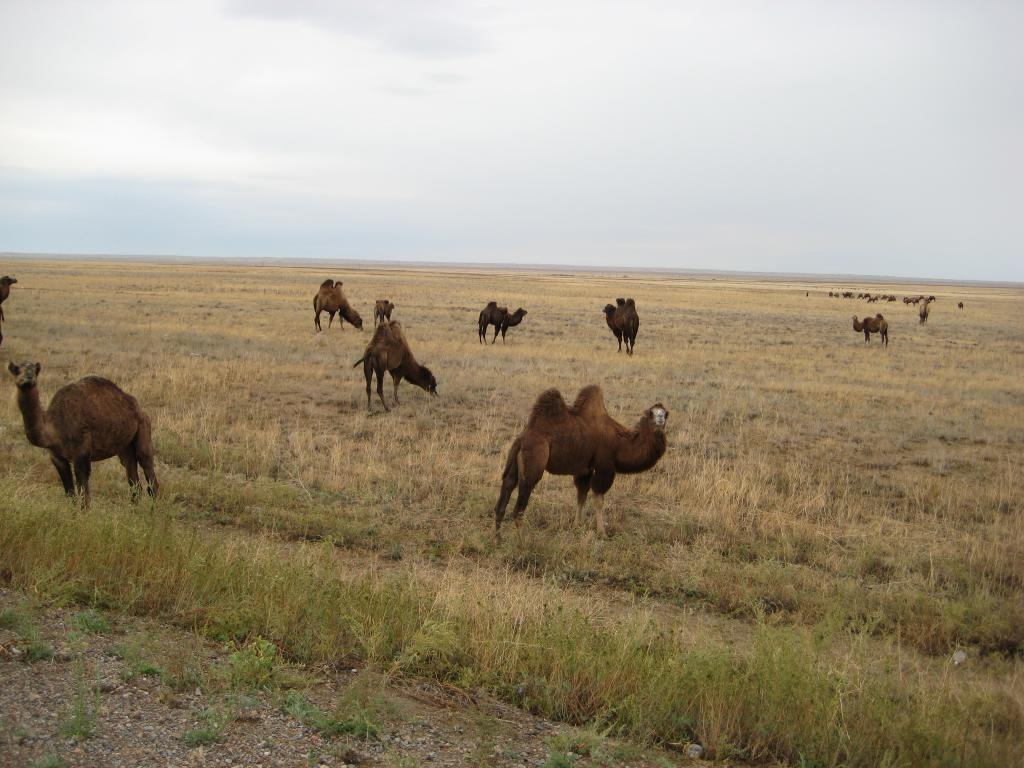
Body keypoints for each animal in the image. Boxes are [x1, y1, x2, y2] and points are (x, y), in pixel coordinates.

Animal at [8, 362, 158, 505]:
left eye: (35, 371)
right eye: (16, 370)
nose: (28, 378)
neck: (53, 427)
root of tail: (139, 408)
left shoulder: (81, 452)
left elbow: (84, 495)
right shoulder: (56, 456)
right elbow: (70, 493)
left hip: (143, 427)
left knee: (147, 467)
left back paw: (153, 510)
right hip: (124, 446)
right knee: (132, 475)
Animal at [491, 382, 667, 540]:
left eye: (666, 413)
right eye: (651, 413)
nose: (660, 419)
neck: (619, 443)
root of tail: (521, 439)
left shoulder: (585, 470)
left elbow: (581, 496)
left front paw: (576, 526)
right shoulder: (604, 467)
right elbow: (599, 500)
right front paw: (602, 533)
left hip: (514, 463)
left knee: (505, 493)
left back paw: (498, 540)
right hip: (534, 462)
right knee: (519, 508)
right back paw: (523, 544)